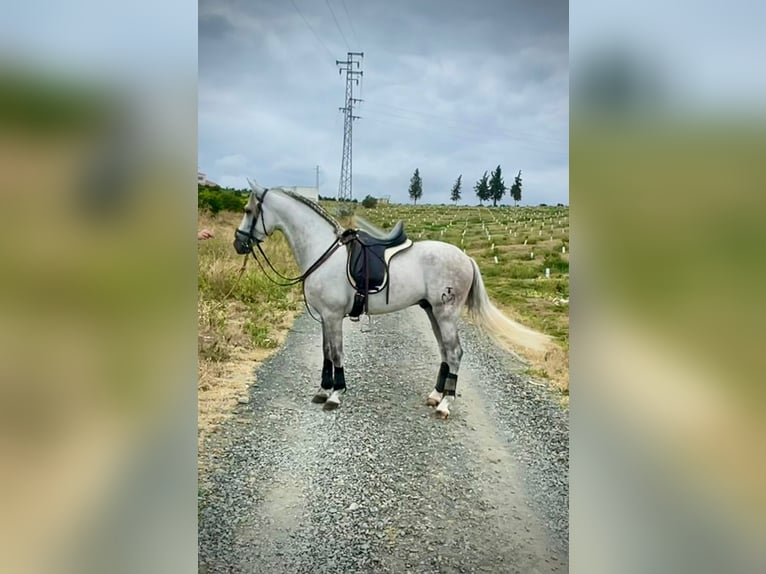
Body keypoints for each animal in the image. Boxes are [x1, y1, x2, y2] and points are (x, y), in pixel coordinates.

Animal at [234, 180, 552, 418]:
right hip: (432, 312)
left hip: (446, 313)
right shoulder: (325, 316)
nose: (238, 243)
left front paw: (335, 394)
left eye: (249, 210)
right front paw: (323, 390)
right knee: (445, 353)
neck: (324, 251)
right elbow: (325, 352)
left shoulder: (333, 316)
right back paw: (435, 395)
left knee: (455, 353)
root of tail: (465, 258)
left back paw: (445, 405)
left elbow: (336, 354)